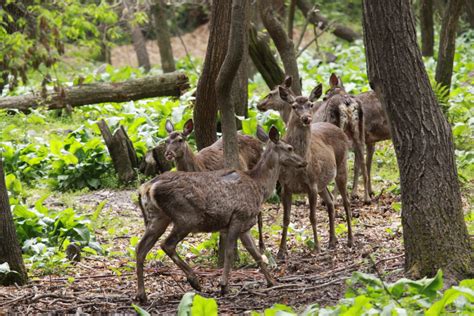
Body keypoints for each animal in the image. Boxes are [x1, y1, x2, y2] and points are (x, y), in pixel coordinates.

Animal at [136, 125, 308, 302]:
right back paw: (194, 280)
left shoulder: (244, 225)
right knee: (167, 245)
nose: (304, 162)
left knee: (140, 249)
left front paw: (271, 281)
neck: (259, 187)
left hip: (157, 217)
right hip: (186, 217)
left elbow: (256, 254)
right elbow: (230, 253)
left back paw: (142, 294)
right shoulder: (238, 217)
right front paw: (224, 286)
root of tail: (147, 188)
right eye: (290, 148)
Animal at [276, 84, 354, 260]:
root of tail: (337, 127)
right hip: (322, 182)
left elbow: (312, 217)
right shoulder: (285, 186)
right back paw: (332, 241)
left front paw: (317, 247)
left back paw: (350, 240)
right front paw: (281, 252)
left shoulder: (311, 184)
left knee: (346, 201)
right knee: (331, 201)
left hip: (342, 165)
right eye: (294, 106)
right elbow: (285, 218)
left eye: (310, 104)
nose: (306, 118)